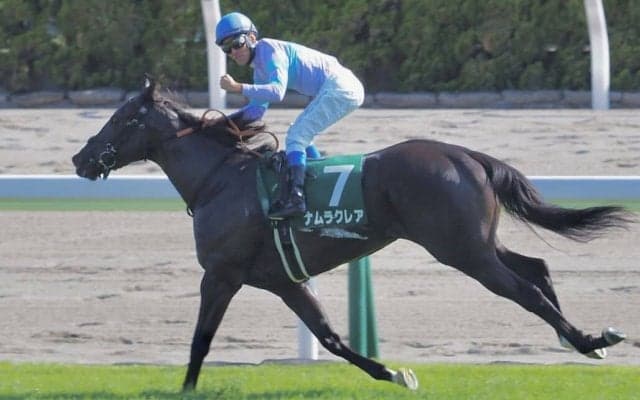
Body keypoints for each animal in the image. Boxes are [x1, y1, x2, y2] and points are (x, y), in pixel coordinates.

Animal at [72, 77, 632, 391]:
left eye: (120, 119)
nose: (80, 159)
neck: (220, 179)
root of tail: (465, 154)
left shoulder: (222, 274)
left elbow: (201, 339)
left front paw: (187, 388)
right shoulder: (283, 281)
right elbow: (330, 337)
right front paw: (394, 374)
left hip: (461, 250)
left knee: (525, 290)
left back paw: (586, 340)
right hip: (477, 243)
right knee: (536, 268)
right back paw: (584, 340)